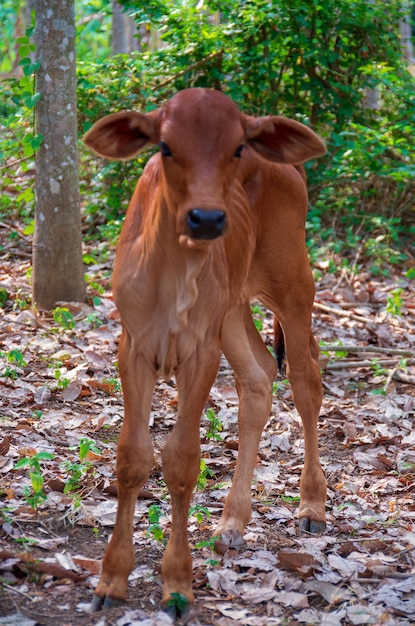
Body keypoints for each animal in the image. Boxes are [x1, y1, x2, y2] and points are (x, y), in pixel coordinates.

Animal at [84, 85, 328, 612]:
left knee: (306, 381)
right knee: (259, 375)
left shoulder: (200, 354)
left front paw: (176, 582)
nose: (208, 218)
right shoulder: (134, 346)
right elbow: (132, 457)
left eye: (236, 148)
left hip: (292, 281)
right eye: (165, 146)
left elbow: (181, 460)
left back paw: (312, 504)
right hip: (233, 307)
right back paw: (232, 521)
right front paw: (111, 579)